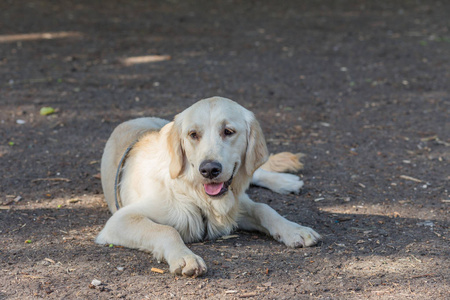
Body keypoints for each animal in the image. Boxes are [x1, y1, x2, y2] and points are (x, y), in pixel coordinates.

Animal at [96, 96, 320, 276]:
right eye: (193, 134)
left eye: (228, 131)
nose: (209, 169)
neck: (192, 192)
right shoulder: (120, 220)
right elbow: (166, 230)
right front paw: (185, 257)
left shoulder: (234, 204)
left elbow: (264, 209)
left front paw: (295, 230)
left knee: (257, 173)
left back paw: (286, 181)